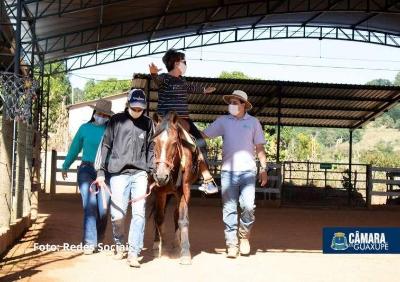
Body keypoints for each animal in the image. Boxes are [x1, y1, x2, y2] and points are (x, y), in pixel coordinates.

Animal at [150, 112, 200, 264]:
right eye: (154, 142)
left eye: (174, 143)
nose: (161, 176)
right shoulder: (160, 192)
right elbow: (159, 217)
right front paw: (159, 247)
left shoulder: (185, 191)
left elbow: (182, 219)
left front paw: (185, 252)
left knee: (175, 214)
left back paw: (177, 243)